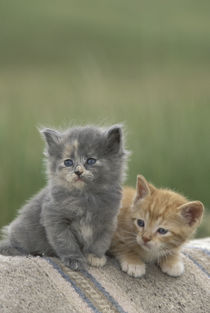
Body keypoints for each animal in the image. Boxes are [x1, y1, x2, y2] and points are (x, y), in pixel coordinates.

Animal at [0, 125, 128, 270]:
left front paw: (95, 257)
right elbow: (66, 242)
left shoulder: (107, 221)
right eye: (68, 162)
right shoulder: (55, 218)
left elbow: (101, 242)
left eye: (91, 161)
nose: (78, 171)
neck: (86, 197)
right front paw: (74, 260)